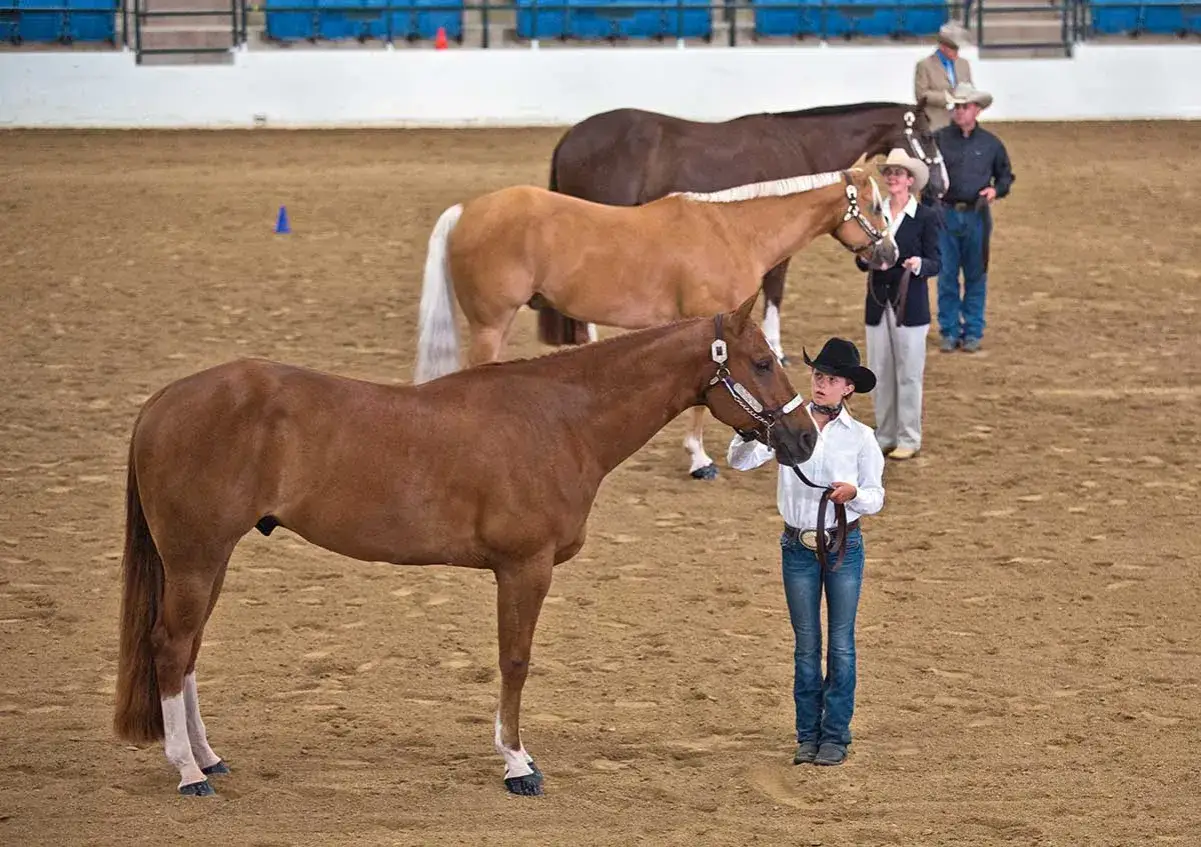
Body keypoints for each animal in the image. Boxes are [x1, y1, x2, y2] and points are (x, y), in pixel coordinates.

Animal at [112, 292, 819, 799]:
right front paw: (517, 764)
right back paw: (188, 772)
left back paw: (209, 757)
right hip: (196, 558)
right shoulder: (524, 568)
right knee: (171, 647)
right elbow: (516, 661)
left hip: (209, 560)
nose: (808, 438)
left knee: (189, 651)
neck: (561, 419)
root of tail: (162, 402)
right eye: (763, 362)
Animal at [413, 166, 897, 480]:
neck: (731, 231)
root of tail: (466, 211)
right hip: (490, 325)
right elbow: (702, 404)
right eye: (876, 205)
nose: (890, 253)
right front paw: (699, 460)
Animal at [540, 101, 949, 363]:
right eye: (928, 136)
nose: (942, 185)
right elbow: (775, 290)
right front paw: (776, 347)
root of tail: (569, 138)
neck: (801, 146)